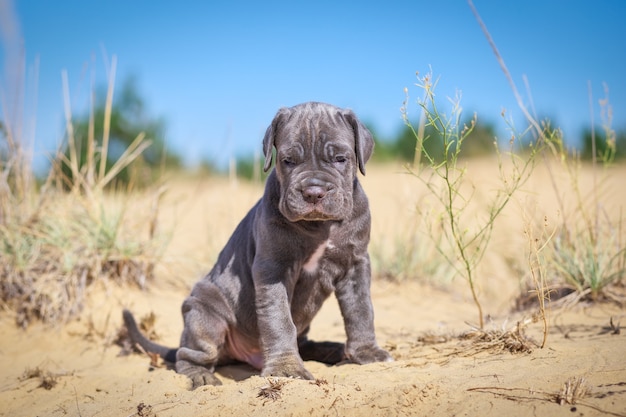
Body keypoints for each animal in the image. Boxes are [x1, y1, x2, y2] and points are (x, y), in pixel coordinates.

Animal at [122, 101, 390, 386]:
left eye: (340, 158)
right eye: (288, 161)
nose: (314, 192)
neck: (320, 226)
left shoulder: (355, 262)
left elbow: (361, 310)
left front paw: (367, 352)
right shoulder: (274, 268)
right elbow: (279, 319)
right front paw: (287, 368)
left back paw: (332, 349)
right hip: (204, 314)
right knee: (190, 353)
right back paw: (201, 375)